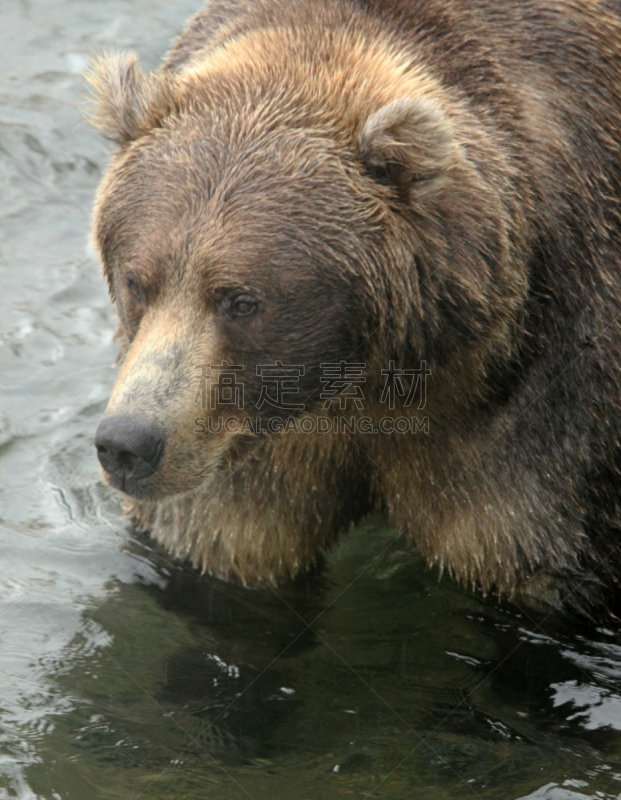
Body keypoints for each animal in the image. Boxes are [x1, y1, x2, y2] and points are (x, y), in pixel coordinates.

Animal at [89, 0, 620, 616]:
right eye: (138, 281)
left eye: (242, 300)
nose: (128, 442)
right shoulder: (241, 447)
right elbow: (220, 552)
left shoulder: (534, 413)